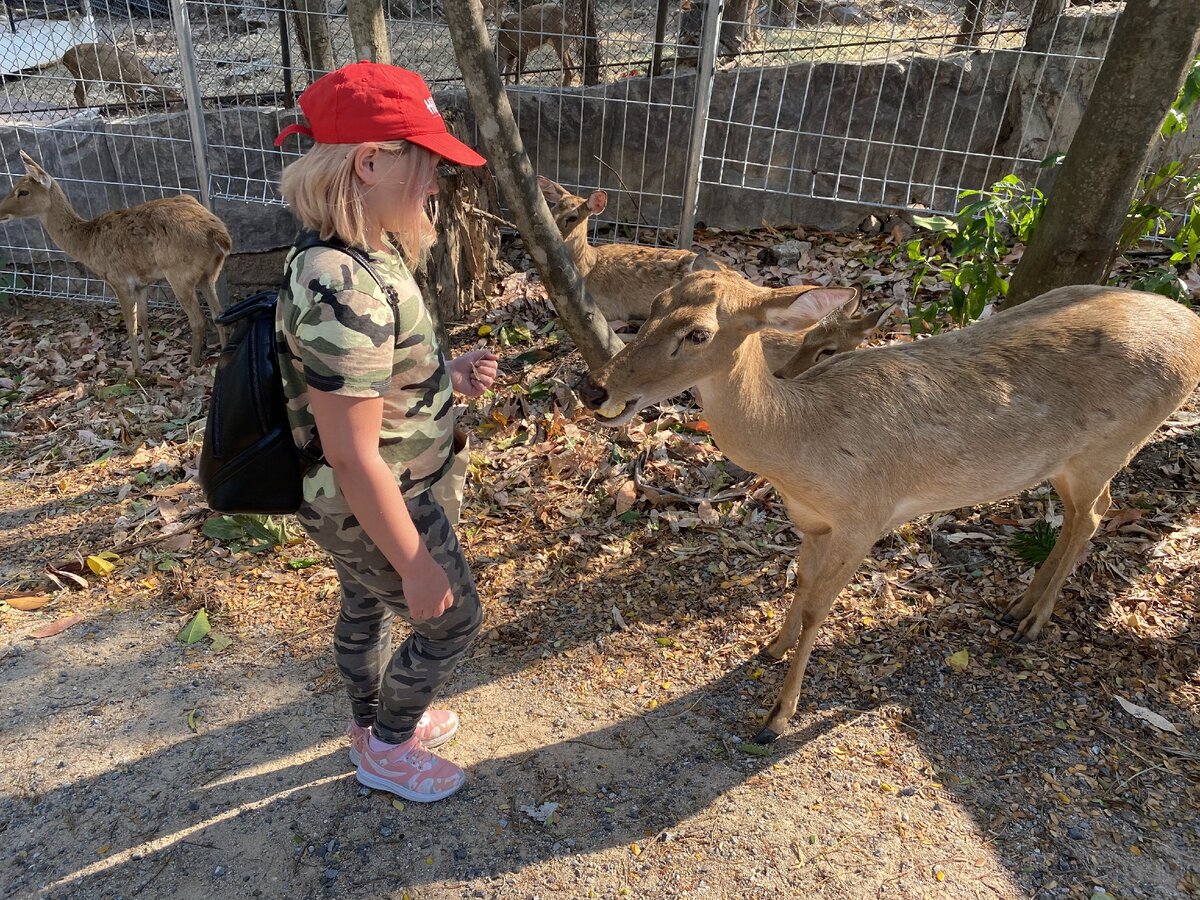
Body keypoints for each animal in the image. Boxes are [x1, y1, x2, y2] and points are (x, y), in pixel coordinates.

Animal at [0, 151, 232, 374]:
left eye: (23, 192)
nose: (1, 211)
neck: (88, 245)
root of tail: (219, 234)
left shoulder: (118, 279)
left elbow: (131, 324)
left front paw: (135, 369)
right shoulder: (142, 282)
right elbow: (144, 318)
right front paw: (149, 357)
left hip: (179, 272)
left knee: (199, 319)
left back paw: (193, 364)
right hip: (209, 272)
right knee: (219, 313)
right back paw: (221, 352)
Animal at [585, 255, 1200, 748]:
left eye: (697, 333)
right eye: (655, 304)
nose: (596, 388)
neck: (801, 450)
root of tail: (1192, 331)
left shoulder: (866, 518)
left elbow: (819, 608)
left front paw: (776, 719)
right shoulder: (813, 522)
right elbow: (800, 583)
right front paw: (768, 648)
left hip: (1109, 446)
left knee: (1094, 514)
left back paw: (1035, 620)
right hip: (1070, 463)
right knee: (1079, 516)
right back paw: (1017, 607)